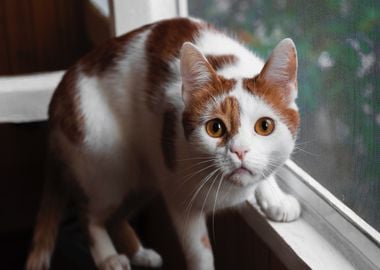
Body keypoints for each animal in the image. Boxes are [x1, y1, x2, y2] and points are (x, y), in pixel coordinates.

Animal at [25, 17, 302, 270]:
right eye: (215, 128)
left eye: (264, 126)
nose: (239, 151)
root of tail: (56, 97)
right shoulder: (179, 196)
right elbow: (199, 251)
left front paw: (275, 199)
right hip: (105, 168)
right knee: (88, 215)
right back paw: (108, 258)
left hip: (142, 175)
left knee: (115, 217)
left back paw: (140, 254)